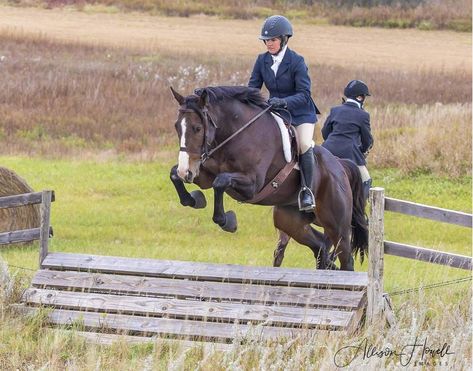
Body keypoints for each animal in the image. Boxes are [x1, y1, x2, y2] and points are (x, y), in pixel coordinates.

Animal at [168, 87, 366, 274]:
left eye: (197, 128)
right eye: (177, 126)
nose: (186, 171)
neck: (235, 134)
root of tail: (340, 165)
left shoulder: (252, 185)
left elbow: (220, 181)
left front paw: (227, 221)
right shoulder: (204, 174)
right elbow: (174, 175)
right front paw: (194, 199)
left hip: (337, 225)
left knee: (346, 258)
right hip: (288, 220)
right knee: (320, 246)